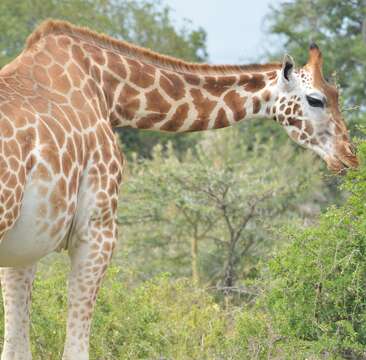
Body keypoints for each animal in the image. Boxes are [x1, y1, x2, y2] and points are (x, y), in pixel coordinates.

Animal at [0, 20, 358, 360]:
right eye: (316, 99)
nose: (349, 155)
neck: (109, 91)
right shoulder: (97, 227)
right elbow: (74, 349)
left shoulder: (27, 243)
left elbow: (17, 346)